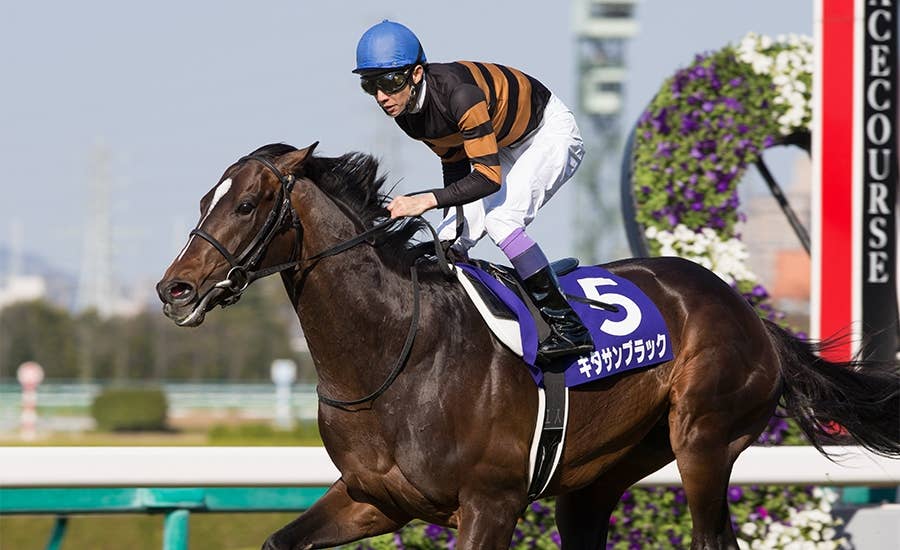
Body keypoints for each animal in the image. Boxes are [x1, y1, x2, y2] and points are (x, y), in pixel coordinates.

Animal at [157, 142, 900, 550]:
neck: (396, 353)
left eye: (246, 205)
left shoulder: (490, 503)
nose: (175, 289)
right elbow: (282, 537)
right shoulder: (374, 497)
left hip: (705, 443)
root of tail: (749, 313)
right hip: (598, 478)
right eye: (202, 201)